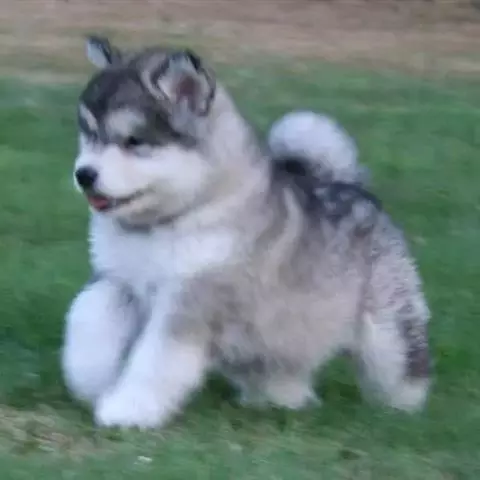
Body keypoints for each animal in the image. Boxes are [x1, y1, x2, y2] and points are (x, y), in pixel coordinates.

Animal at [61, 36, 432, 429]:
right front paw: (90, 380)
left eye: (133, 141)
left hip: (387, 328)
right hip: (281, 333)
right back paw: (283, 400)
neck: (167, 222)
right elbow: (86, 319)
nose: (84, 174)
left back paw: (402, 412)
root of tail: (352, 185)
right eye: (88, 134)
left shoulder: (189, 301)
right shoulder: (117, 281)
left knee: (401, 365)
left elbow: (155, 361)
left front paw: (127, 409)